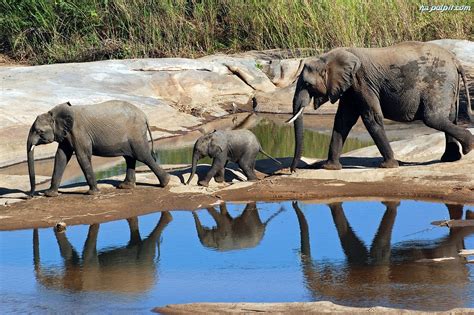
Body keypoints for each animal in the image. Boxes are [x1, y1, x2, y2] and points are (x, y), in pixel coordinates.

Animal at [26, 100, 169, 198]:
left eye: (39, 131)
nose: (31, 195)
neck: (55, 113)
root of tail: (145, 116)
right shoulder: (66, 134)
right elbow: (61, 157)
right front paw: (50, 194)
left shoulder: (79, 132)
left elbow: (82, 156)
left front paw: (92, 193)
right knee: (130, 157)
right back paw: (125, 187)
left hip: (135, 133)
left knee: (142, 155)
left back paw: (165, 183)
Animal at [286, 41, 472, 173]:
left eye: (308, 85)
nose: (293, 171)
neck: (328, 57)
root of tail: (455, 60)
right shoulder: (351, 87)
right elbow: (343, 120)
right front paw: (330, 168)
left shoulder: (362, 82)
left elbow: (371, 117)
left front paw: (389, 166)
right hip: (447, 84)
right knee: (449, 117)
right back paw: (451, 158)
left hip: (438, 82)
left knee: (434, 118)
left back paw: (469, 146)